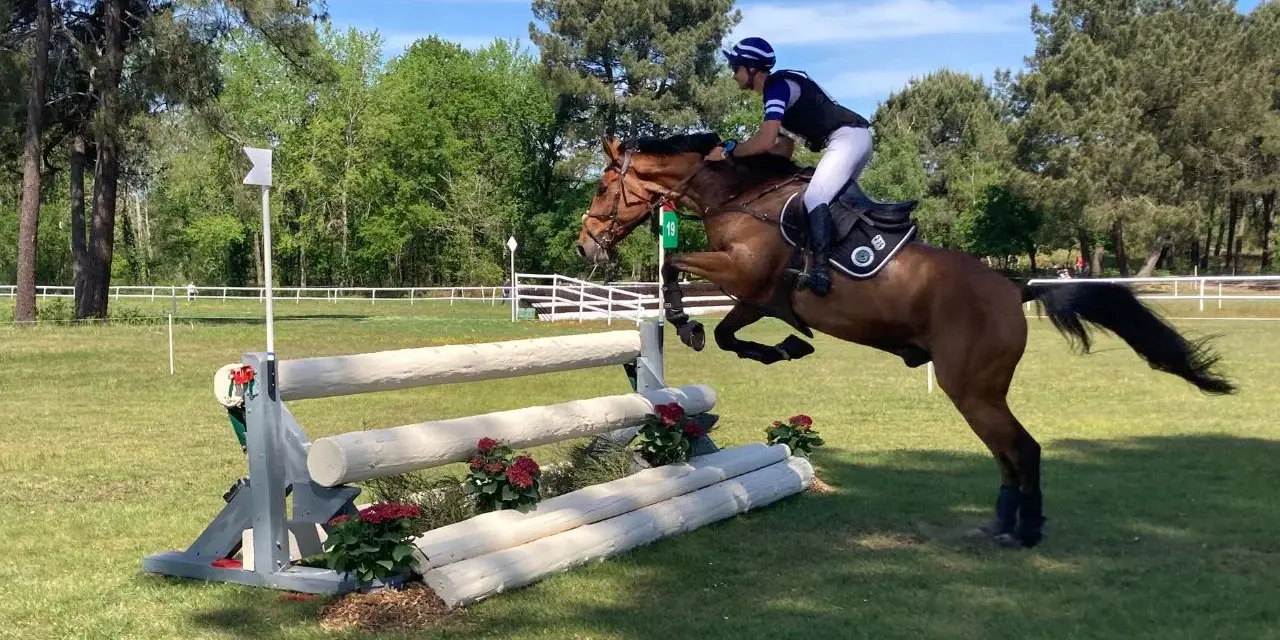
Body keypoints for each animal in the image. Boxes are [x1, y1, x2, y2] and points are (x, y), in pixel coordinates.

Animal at [576, 132, 1235, 548]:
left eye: (603, 189)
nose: (585, 246)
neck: (738, 198)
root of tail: (1014, 287)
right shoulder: (757, 294)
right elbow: (730, 332)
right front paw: (783, 346)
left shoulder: (742, 273)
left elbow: (674, 265)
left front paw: (681, 317)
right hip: (976, 392)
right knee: (1007, 453)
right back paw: (1001, 525)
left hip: (971, 387)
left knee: (1023, 449)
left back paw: (1024, 531)